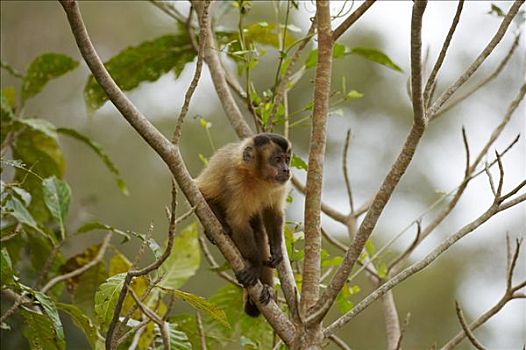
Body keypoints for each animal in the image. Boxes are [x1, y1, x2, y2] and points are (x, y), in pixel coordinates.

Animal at [197, 133, 292, 316]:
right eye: (277, 160)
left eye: (287, 160)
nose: (286, 170)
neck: (256, 176)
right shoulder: (236, 180)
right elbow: (238, 223)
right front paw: (254, 265)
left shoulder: (279, 185)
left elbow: (273, 213)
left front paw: (277, 252)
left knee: (259, 233)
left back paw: (267, 289)